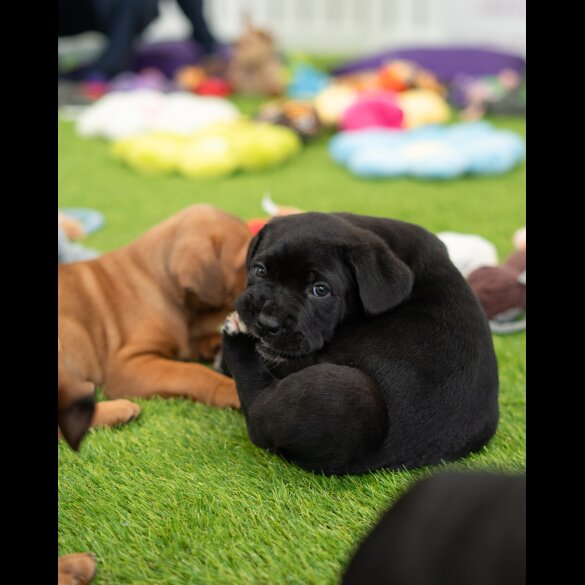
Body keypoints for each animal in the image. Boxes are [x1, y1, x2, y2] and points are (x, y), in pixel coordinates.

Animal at [220, 213, 498, 474]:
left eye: (320, 290)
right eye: (259, 270)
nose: (266, 322)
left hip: (344, 393)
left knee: (256, 415)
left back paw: (234, 334)